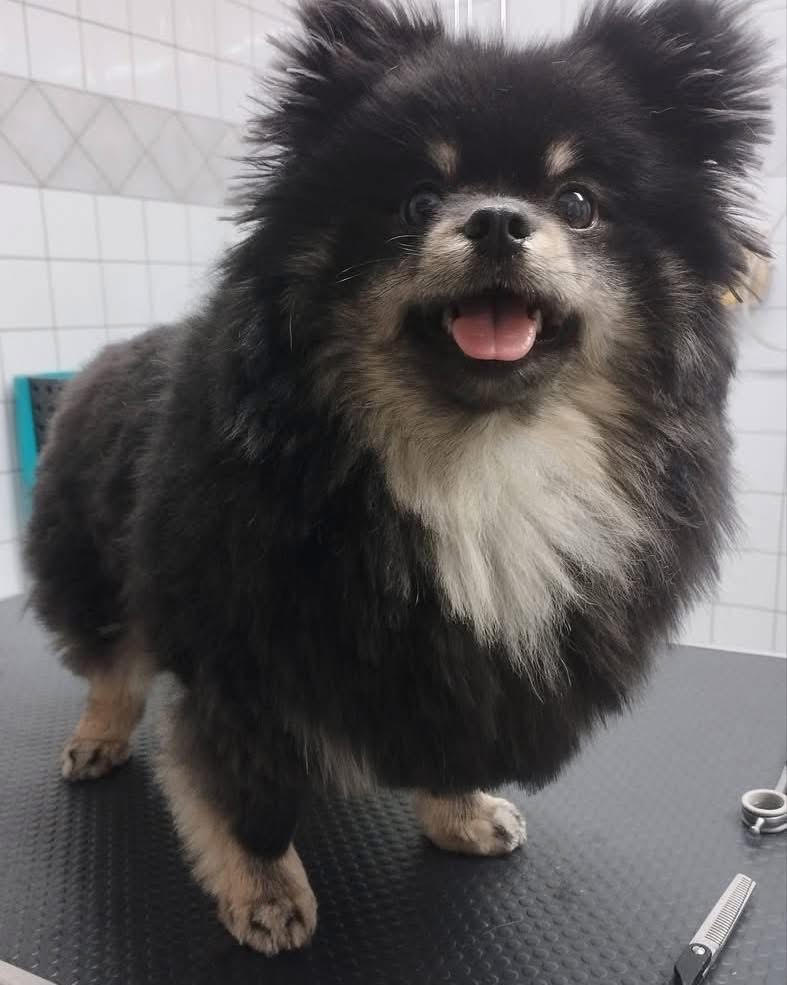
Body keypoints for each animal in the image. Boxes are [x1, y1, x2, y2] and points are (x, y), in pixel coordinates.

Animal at [25, 0, 770, 956]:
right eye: (418, 198)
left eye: (577, 202)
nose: (496, 219)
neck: (480, 458)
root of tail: (100, 359)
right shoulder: (243, 660)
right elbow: (244, 792)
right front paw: (264, 887)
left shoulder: (459, 657)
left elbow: (449, 739)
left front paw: (459, 813)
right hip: (93, 565)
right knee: (111, 666)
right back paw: (99, 737)